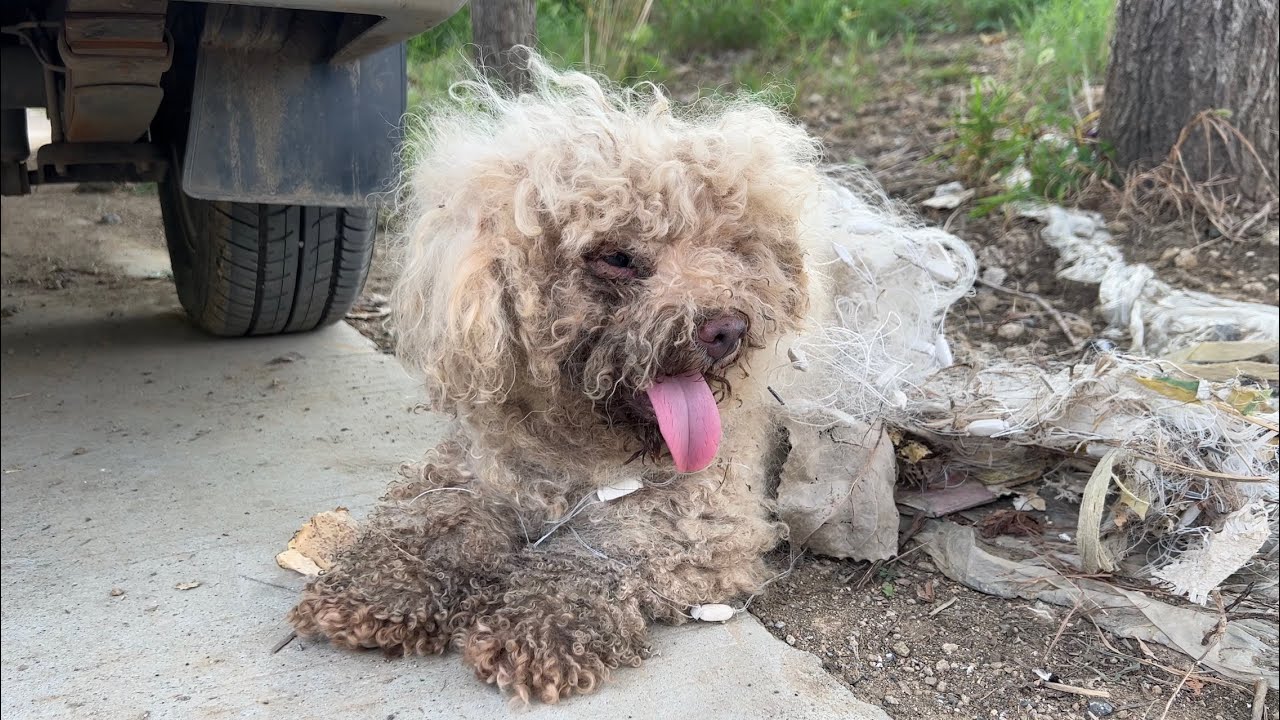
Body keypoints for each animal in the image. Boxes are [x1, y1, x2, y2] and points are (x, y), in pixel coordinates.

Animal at [289, 54, 839, 702]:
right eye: (616, 256)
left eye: (731, 249)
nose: (726, 327)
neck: (579, 453)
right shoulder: (474, 471)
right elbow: (435, 520)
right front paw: (382, 584)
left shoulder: (702, 521)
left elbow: (598, 553)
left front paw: (542, 620)